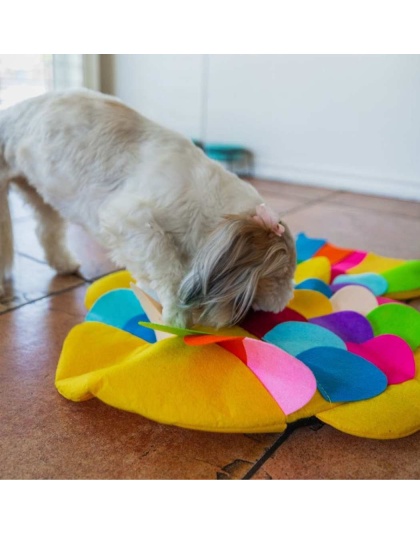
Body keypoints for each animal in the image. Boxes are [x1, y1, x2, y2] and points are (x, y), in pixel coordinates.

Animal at [0, 90, 296, 328]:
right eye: (245, 302)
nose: (234, 322)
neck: (207, 204)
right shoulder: (131, 222)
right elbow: (167, 267)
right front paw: (176, 315)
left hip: (41, 193)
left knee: (47, 230)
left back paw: (62, 262)